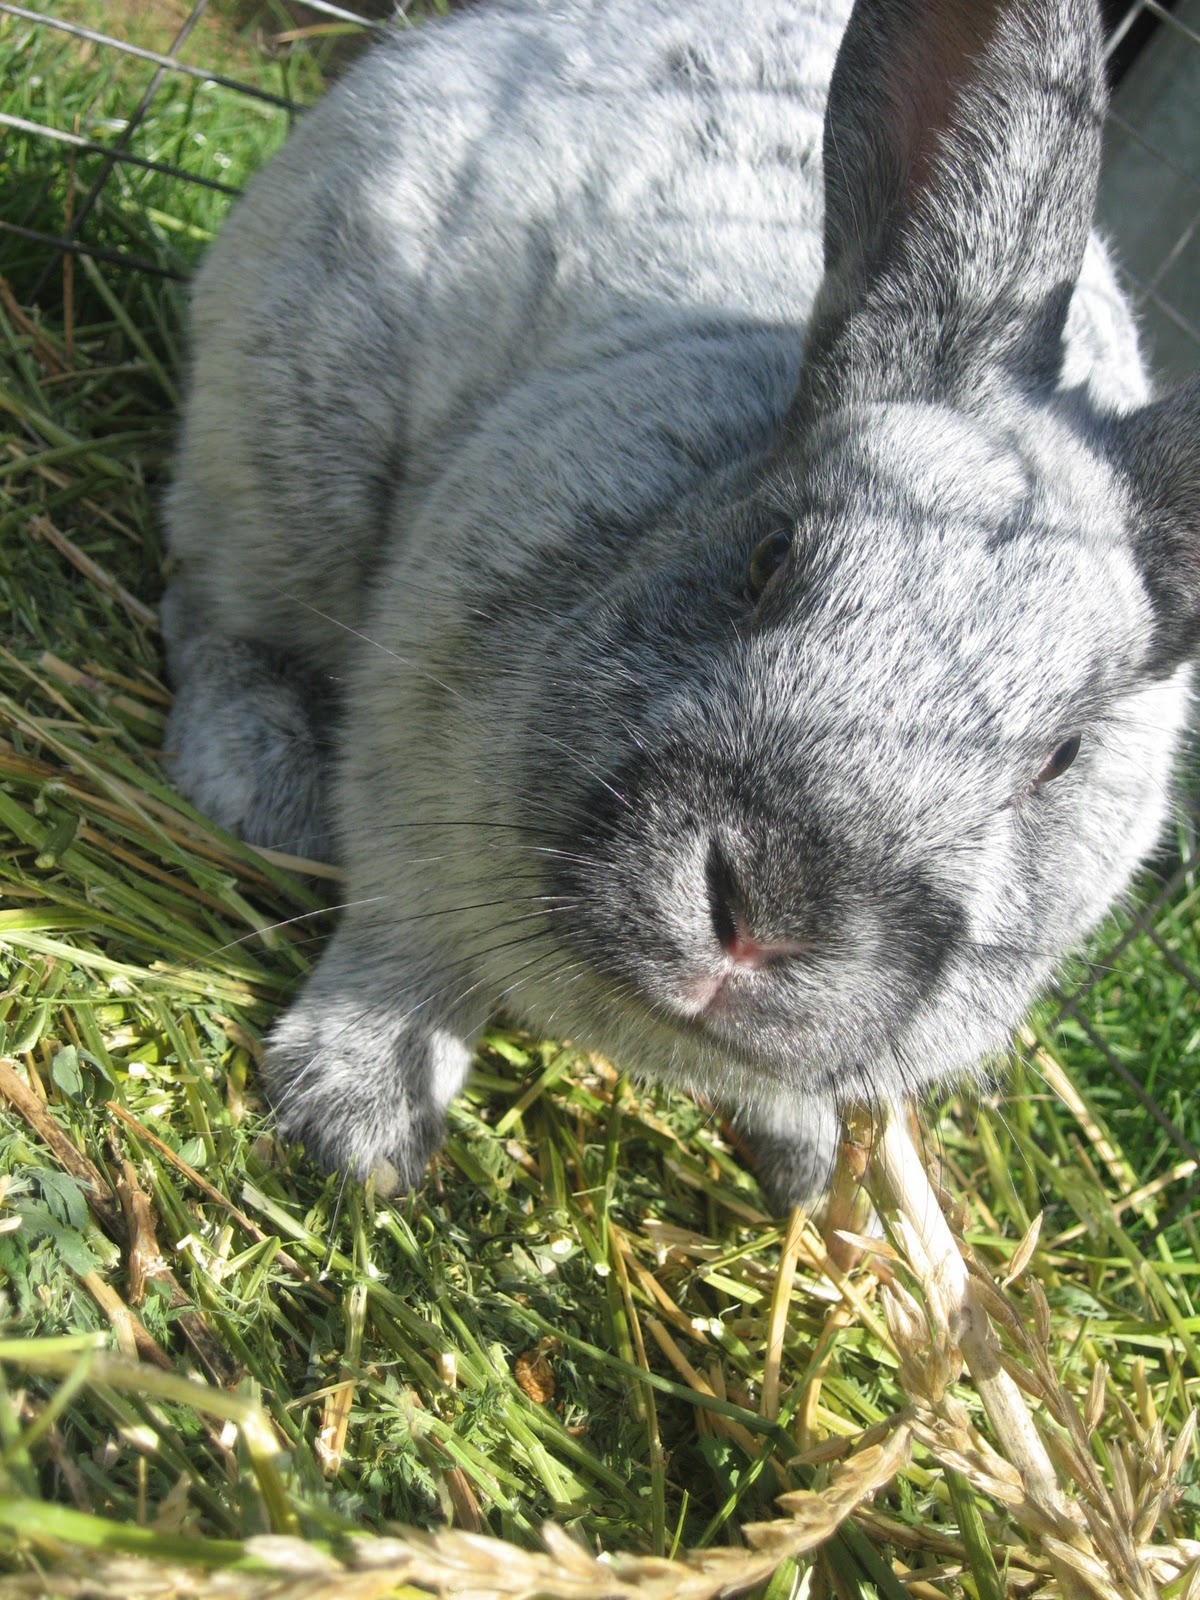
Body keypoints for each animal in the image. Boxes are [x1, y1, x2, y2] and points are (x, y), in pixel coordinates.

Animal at [161, 0, 1200, 1211]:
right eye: (767, 555)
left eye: (1063, 758)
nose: (758, 924)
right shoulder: (409, 757)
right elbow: (408, 945)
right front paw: (354, 1121)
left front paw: (803, 1166)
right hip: (285, 452)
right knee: (210, 606)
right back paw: (261, 780)